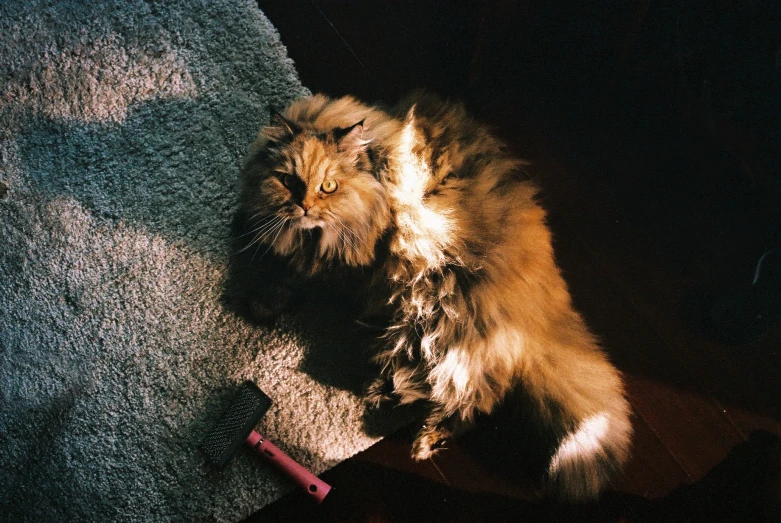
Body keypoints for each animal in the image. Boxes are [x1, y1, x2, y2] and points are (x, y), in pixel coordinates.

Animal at [235, 93, 632, 500]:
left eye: (328, 186)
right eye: (288, 181)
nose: (304, 207)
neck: (376, 179)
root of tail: (544, 308)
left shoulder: (344, 265)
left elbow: (295, 279)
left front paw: (261, 302)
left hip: (445, 325)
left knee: (475, 401)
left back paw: (424, 440)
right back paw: (384, 393)